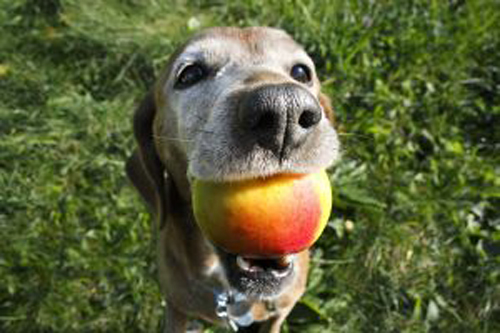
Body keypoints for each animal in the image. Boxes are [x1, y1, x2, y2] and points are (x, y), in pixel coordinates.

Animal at [126, 27, 340, 330]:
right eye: (189, 74)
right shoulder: (176, 309)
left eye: (301, 71)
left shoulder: (280, 311)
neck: (234, 297)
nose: (284, 110)